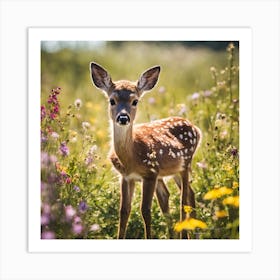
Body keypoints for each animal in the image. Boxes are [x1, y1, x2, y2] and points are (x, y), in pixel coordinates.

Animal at [89, 62, 201, 240]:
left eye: (135, 101)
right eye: (112, 100)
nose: (123, 118)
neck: (131, 155)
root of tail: (196, 129)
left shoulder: (150, 173)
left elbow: (145, 211)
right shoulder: (126, 177)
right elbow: (124, 211)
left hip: (186, 163)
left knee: (183, 200)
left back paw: (187, 235)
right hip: (172, 171)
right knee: (187, 194)